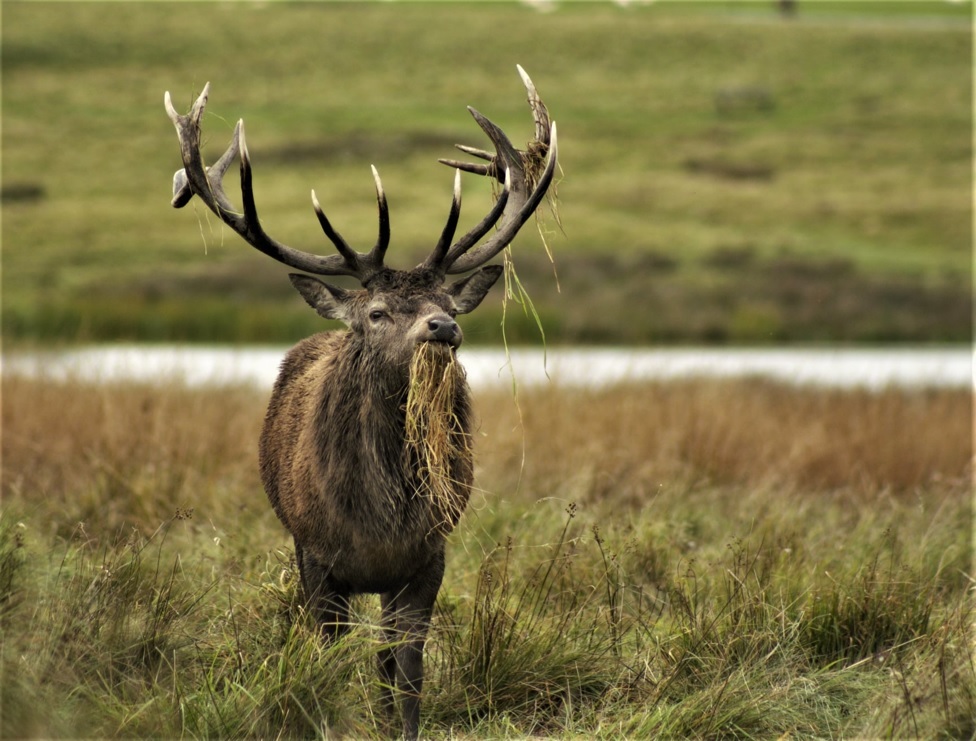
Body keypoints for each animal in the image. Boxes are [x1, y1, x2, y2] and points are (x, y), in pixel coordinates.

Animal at [166, 66, 556, 736]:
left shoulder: (426, 558)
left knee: (382, 657)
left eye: (447, 306)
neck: (378, 519)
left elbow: (408, 669)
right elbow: (327, 656)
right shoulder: (318, 557)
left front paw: (402, 727)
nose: (443, 329)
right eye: (376, 313)